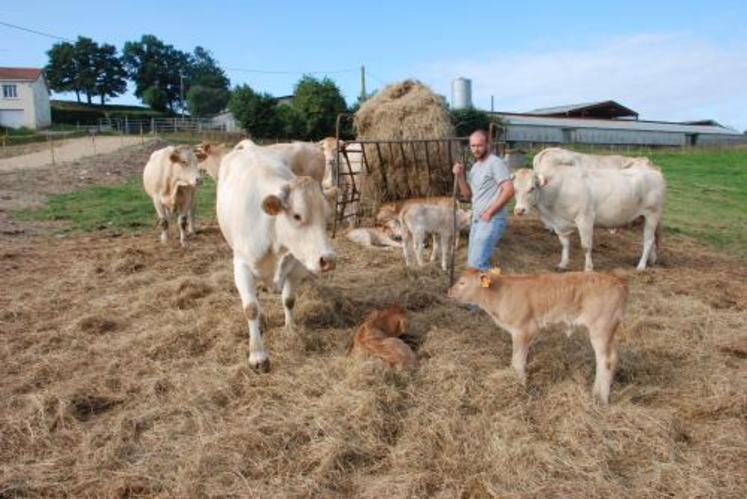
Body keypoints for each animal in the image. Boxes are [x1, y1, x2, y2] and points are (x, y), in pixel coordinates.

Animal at [218, 141, 338, 372]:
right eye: (297, 215)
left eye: (327, 216)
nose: (328, 260)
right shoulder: (241, 266)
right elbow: (251, 308)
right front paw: (257, 355)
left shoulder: (298, 266)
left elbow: (289, 300)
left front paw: (291, 330)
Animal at [450, 268, 632, 404]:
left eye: (462, 282)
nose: (449, 291)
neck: (500, 294)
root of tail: (615, 278)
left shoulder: (524, 330)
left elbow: (517, 362)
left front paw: (519, 386)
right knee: (607, 359)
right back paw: (596, 393)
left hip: (601, 328)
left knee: (607, 360)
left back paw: (601, 399)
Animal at [516, 164, 668, 272]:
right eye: (515, 189)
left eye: (532, 188)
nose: (519, 210)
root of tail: (654, 171)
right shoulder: (561, 225)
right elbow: (564, 244)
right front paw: (563, 264)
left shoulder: (585, 219)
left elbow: (586, 246)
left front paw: (588, 268)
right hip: (645, 217)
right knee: (653, 238)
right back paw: (652, 260)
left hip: (652, 215)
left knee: (648, 240)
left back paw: (641, 266)